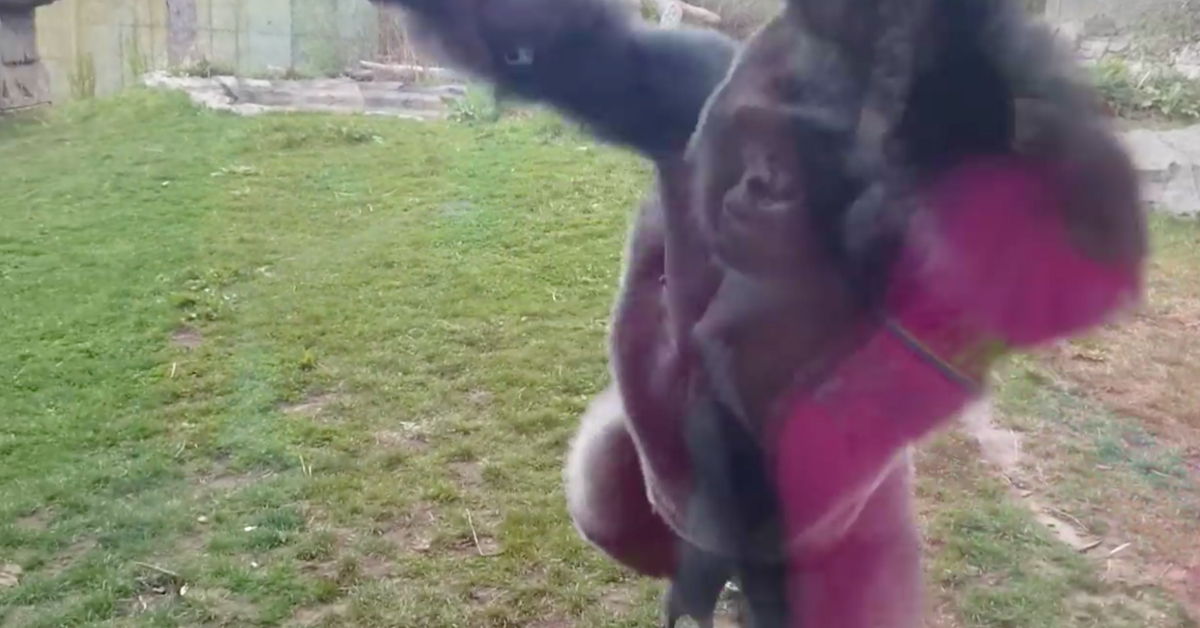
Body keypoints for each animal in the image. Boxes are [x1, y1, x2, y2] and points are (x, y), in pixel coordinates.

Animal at [365, 0, 1148, 627]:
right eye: (756, 136)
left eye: (802, 152)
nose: (759, 184)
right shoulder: (692, 86)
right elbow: (548, 40)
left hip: (872, 534)